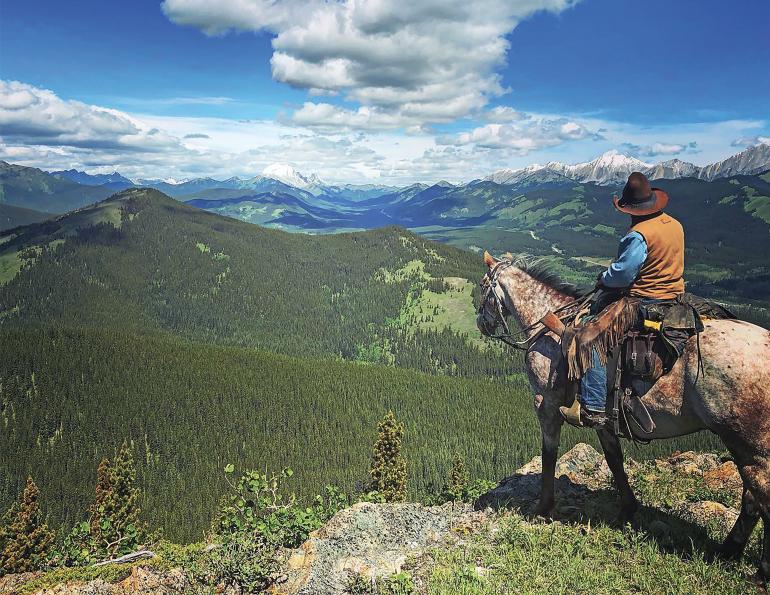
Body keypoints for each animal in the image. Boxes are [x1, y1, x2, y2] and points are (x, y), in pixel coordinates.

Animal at [476, 251, 770, 580]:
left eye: (483, 286)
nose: (481, 322)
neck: (549, 327)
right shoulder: (602, 417)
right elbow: (614, 458)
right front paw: (628, 508)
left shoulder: (546, 405)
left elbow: (549, 455)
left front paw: (542, 507)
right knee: (752, 499)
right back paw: (728, 551)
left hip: (747, 444)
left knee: (760, 496)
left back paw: (759, 568)